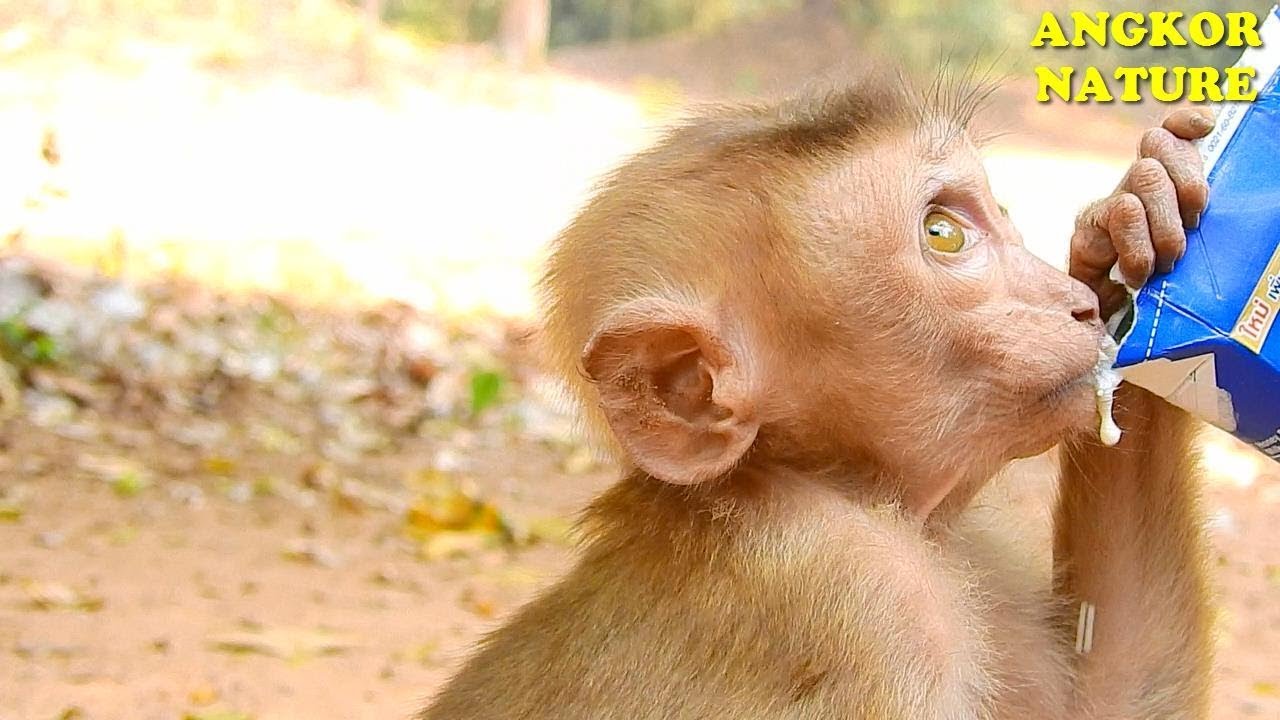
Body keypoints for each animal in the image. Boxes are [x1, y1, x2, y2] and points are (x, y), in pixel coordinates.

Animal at [419, 76, 1216, 719]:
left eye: (999, 209)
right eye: (943, 233)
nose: (1078, 306)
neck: (827, 480)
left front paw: (1145, 214)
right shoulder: (872, 605)